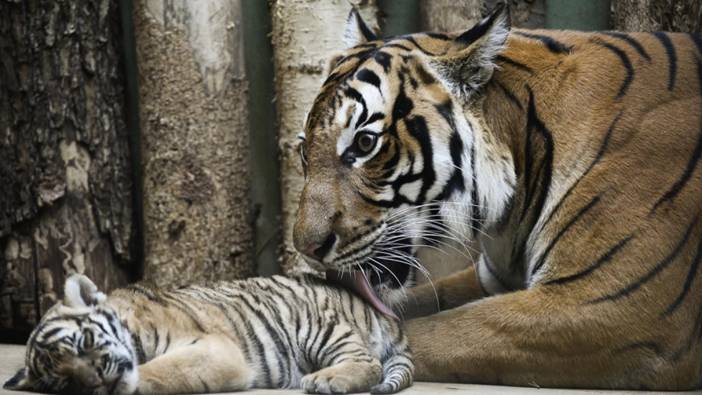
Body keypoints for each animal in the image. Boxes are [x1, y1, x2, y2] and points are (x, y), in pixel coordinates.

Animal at [294, 1, 702, 390]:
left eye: (365, 144)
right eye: (303, 149)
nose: (306, 249)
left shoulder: (615, 307)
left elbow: (434, 331)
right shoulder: (491, 278)